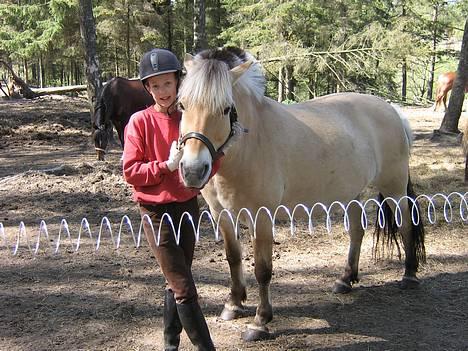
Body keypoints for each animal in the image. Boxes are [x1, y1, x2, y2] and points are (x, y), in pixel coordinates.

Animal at [177, 48, 426, 342]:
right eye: (182, 105)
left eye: (226, 109)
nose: (193, 170)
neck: (250, 144)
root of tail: (392, 110)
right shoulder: (222, 214)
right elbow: (233, 257)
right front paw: (234, 305)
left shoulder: (261, 217)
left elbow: (263, 269)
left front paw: (260, 322)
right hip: (352, 193)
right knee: (357, 232)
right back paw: (345, 280)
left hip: (393, 189)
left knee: (406, 225)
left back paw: (409, 275)